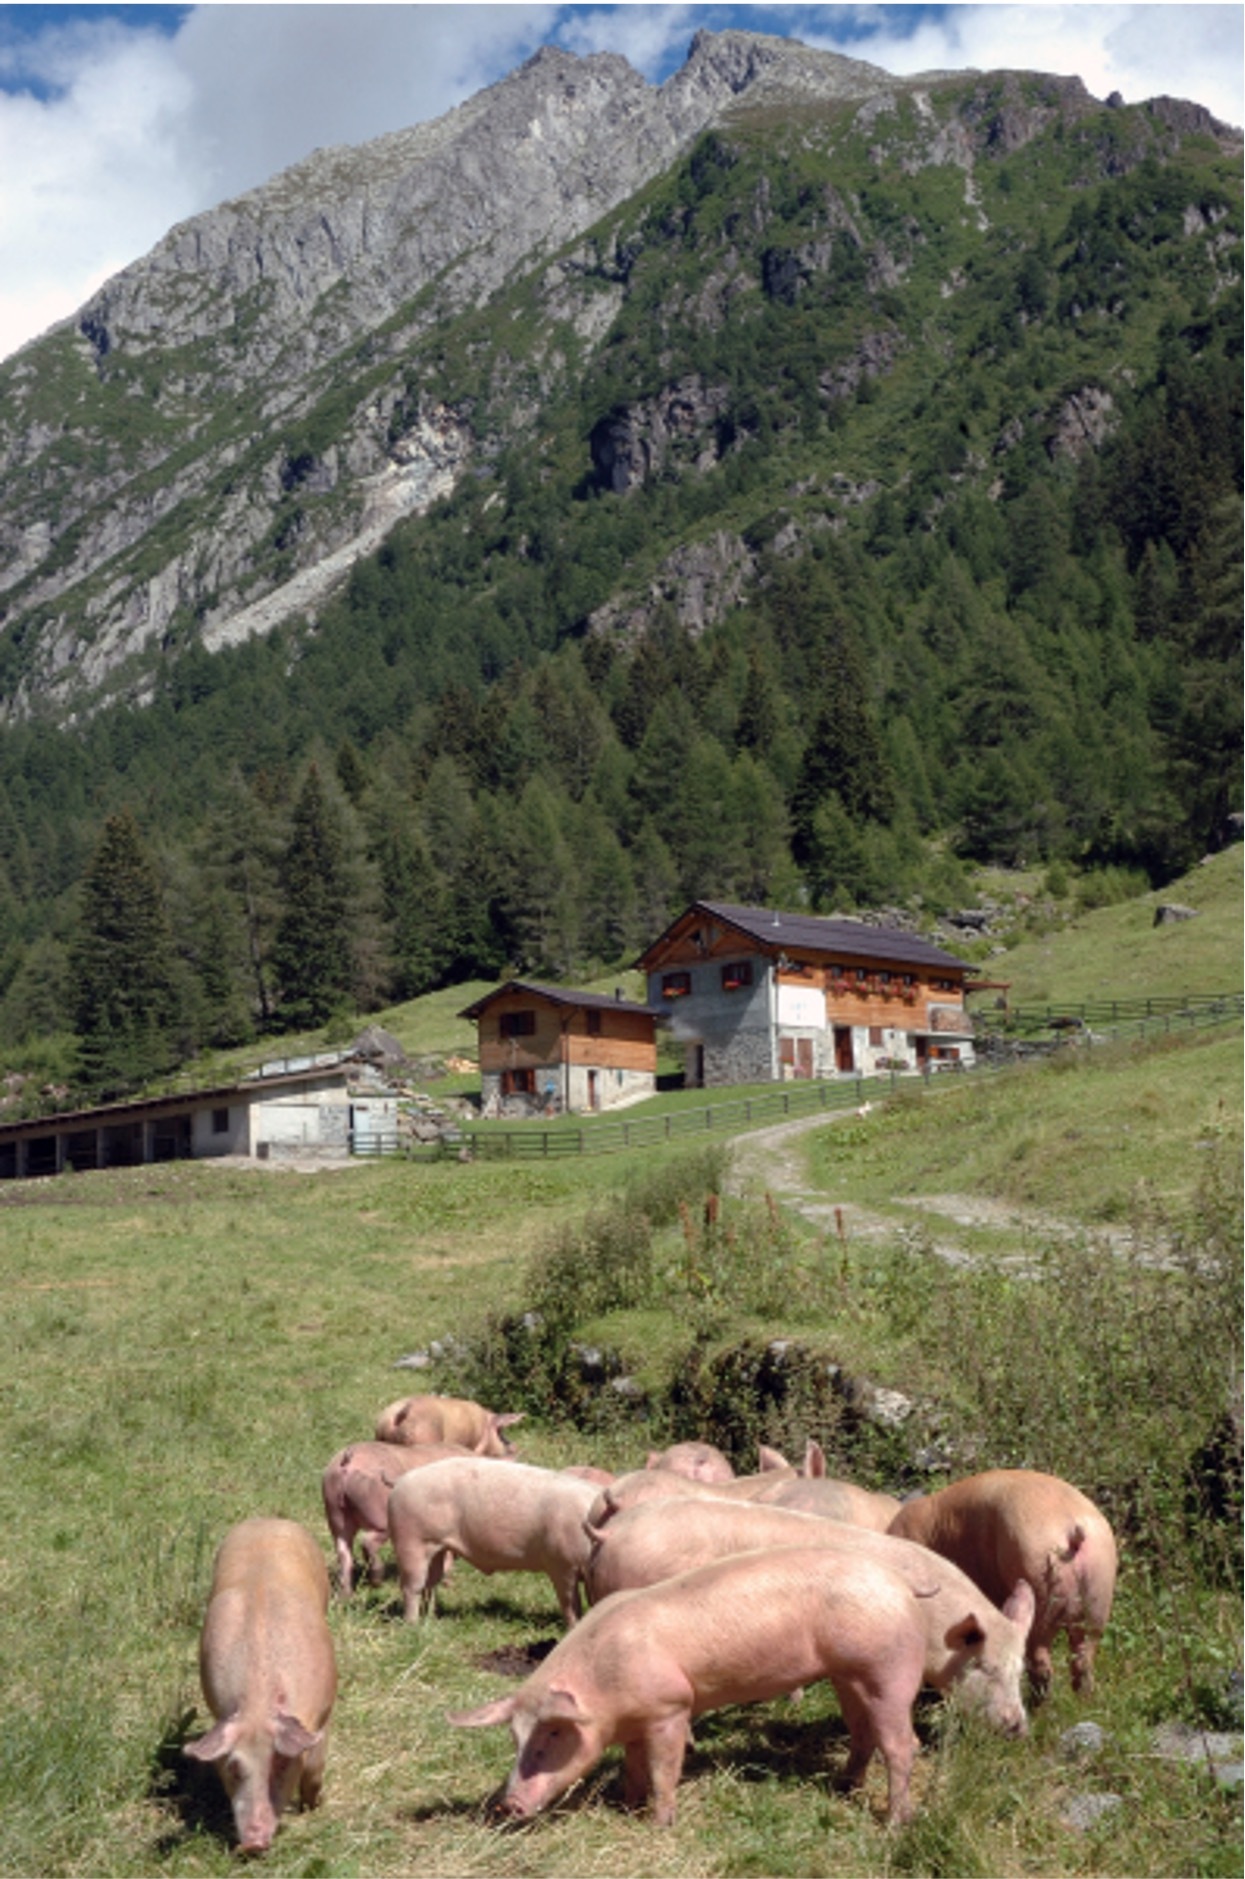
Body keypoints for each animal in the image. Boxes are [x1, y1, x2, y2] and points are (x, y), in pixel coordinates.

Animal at [183, 1517, 337, 1856]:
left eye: (280, 1763)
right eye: (233, 1767)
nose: (252, 1843)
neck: (258, 1700)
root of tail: (267, 1519)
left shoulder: (323, 1712)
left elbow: (315, 1764)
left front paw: (313, 1806)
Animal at [320, 1440, 474, 1594]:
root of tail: (348, 1461)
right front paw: (448, 1582)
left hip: (334, 1510)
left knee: (344, 1553)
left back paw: (346, 1595)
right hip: (381, 1512)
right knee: (366, 1541)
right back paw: (377, 1580)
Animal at [386, 1456, 599, 1626]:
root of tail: (400, 1481)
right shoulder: (561, 1564)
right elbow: (570, 1602)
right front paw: (574, 1627)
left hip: (437, 1547)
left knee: (430, 1582)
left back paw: (431, 1619)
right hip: (411, 1540)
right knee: (412, 1586)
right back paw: (411, 1625)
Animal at [451, 1545, 1031, 1826]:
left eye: (551, 1735)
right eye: (515, 1738)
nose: (507, 1806)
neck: (606, 1681)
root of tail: (901, 1585)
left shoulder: (671, 1708)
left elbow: (665, 1769)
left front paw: (659, 1823)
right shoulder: (637, 1720)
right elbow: (635, 1767)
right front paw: (627, 1805)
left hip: (888, 1671)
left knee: (903, 1744)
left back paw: (895, 1822)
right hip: (849, 1675)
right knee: (863, 1733)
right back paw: (844, 1787)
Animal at [888, 1468, 1118, 1698]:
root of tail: (1071, 1531)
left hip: (1036, 1581)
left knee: (1042, 1663)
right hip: (1099, 1592)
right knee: (1083, 1660)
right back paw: (1083, 1700)